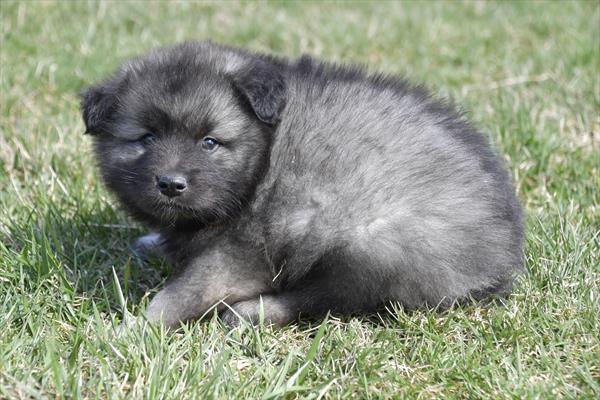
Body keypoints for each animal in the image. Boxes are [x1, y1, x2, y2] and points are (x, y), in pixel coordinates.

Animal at [81, 41, 524, 328]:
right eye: (145, 138)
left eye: (210, 141)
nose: (171, 184)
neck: (261, 160)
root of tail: (502, 254)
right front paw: (152, 244)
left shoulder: (239, 252)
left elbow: (180, 294)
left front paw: (130, 332)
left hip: (371, 246)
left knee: (323, 298)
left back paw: (250, 313)